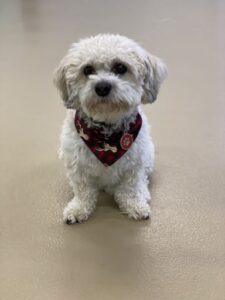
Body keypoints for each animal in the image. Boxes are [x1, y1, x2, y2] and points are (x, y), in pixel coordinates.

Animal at [54, 34, 167, 224]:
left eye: (120, 67)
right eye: (87, 69)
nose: (102, 86)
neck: (106, 134)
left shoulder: (134, 165)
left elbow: (130, 188)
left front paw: (134, 205)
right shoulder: (77, 165)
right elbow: (83, 191)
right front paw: (78, 208)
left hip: (148, 156)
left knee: (142, 181)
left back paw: (142, 193)